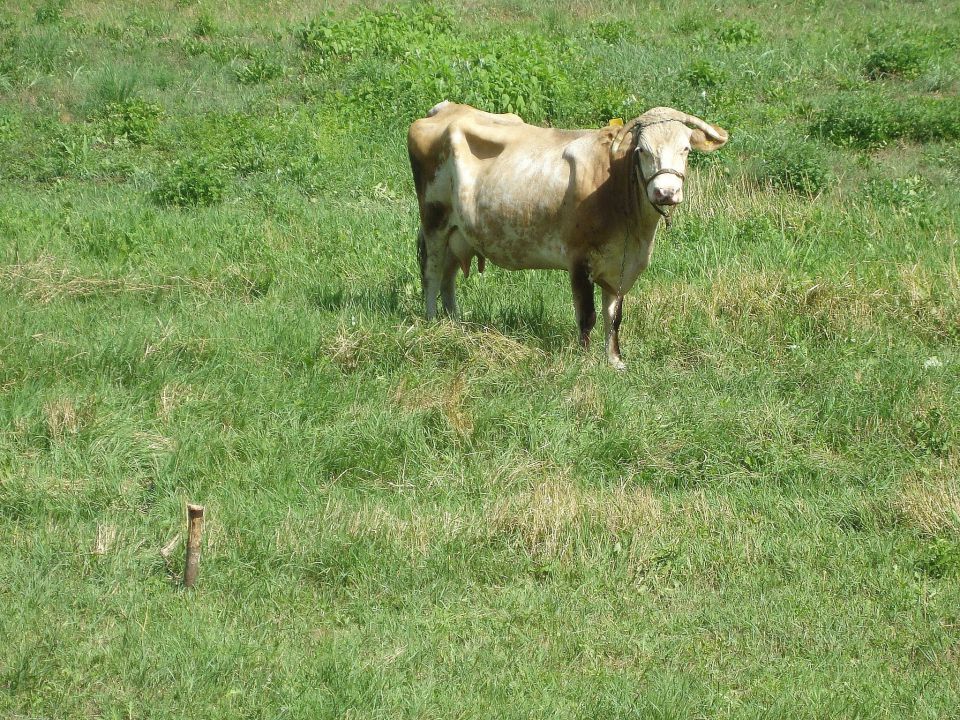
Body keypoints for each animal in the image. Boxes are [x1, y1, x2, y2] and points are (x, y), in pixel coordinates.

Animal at [404, 101, 728, 368]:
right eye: (643, 151)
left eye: (686, 149)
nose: (666, 192)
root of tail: (445, 109)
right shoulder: (579, 261)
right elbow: (588, 316)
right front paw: (584, 361)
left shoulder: (621, 267)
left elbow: (614, 316)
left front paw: (614, 361)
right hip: (434, 221)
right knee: (432, 274)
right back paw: (432, 324)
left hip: (457, 233)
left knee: (448, 277)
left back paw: (454, 325)